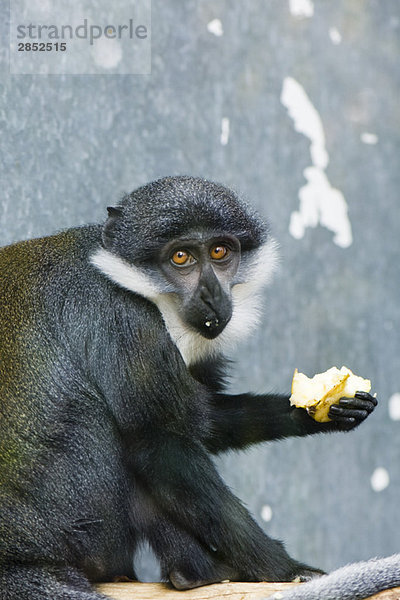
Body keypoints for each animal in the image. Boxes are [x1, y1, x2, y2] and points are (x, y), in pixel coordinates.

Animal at [0, 177, 378, 600]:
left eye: (219, 251)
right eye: (181, 257)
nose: (212, 296)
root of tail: (18, 561)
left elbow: (204, 421)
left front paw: (327, 412)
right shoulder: (125, 318)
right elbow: (162, 443)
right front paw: (286, 568)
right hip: (86, 531)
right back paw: (194, 573)